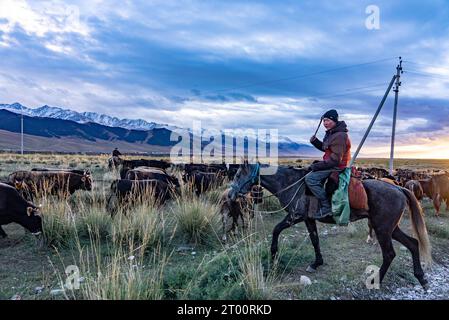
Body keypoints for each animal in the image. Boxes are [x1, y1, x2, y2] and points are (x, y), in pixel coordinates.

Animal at [229, 162, 432, 290]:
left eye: (238, 174)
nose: (230, 195)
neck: (290, 182)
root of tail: (398, 187)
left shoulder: (294, 217)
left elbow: (276, 230)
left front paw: (273, 255)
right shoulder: (308, 219)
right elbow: (315, 240)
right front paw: (316, 263)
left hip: (382, 229)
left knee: (390, 254)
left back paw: (376, 281)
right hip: (390, 228)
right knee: (413, 243)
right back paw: (421, 277)